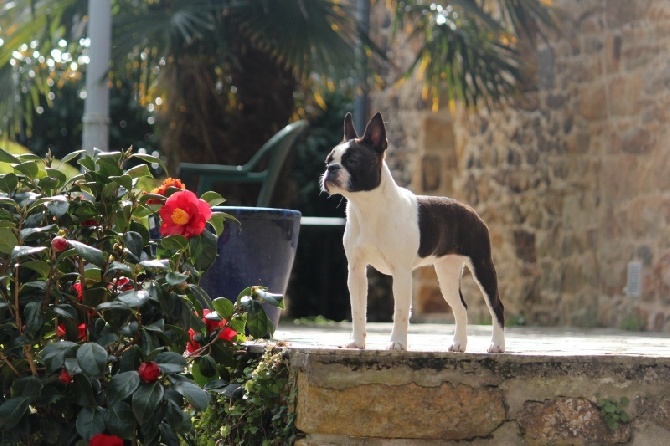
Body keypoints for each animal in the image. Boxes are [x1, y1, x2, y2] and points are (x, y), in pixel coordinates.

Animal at [322, 110, 506, 352]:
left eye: (353, 161)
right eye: (327, 161)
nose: (330, 170)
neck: (367, 207)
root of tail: (470, 210)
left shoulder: (400, 271)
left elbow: (400, 311)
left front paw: (397, 343)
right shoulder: (357, 271)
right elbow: (358, 309)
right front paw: (357, 342)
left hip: (481, 265)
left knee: (496, 305)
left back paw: (497, 345)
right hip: (447, 274)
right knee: (461, 307)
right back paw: (459, 344)